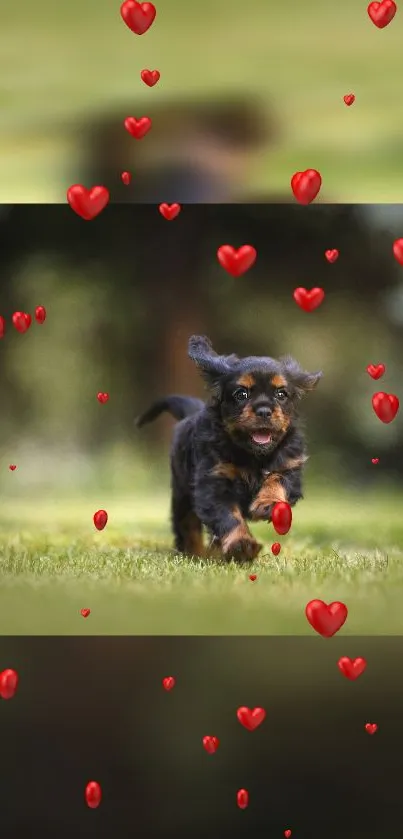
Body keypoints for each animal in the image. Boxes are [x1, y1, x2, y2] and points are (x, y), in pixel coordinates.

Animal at [137, 336, 324, 564]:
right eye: (241, 394)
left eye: (281, 394)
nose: (264, 411)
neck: (253, 455)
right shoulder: (213, 483)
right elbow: (228, 517)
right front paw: (241, 545)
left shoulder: (290, 466)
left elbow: (276, 479)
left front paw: (269, 503)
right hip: (182, 493)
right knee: (187, 526)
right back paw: (196, 554)